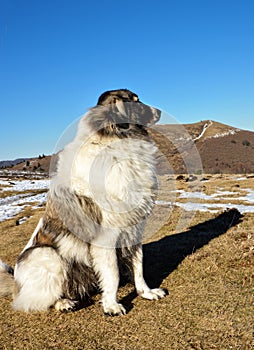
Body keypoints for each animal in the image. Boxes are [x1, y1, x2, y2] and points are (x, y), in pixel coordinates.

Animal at [0, 89, 167, 316]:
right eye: (135, 101)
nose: (159, 112)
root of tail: (16, 284)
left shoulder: (134, 228)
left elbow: (138, 265)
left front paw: (146, 292)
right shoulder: (106, 235)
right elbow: (113, 274)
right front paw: (111, 305)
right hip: (47, 254)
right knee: (36, 299)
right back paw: (63, 303)